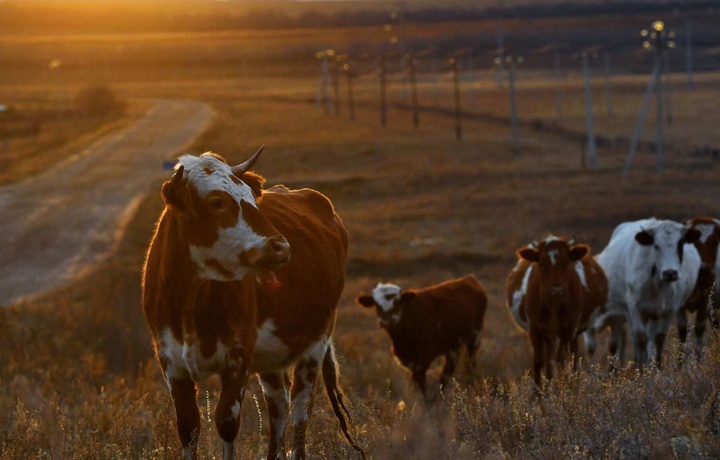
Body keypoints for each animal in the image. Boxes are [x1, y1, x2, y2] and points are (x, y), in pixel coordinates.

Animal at [352, 274, 486, 400]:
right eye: (377, 305)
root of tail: (468, 279)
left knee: (469, 361)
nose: (387, 320)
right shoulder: (408, 360)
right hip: (452, 344)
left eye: (397, 302)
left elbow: (420, 383)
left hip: (475, 335)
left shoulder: (423, 358)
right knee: (450, 365)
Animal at [506, 237, 608, 384]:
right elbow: (538, 361)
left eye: (566, 262)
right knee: (549, 357)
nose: (556, 290)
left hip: (571, 332)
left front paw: (562, 385)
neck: (553, 305)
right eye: (541, 263)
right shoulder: (535, 329)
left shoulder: (569, 328)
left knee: (572, 354)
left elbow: (562, 360)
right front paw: (539, 389)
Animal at [596, 218, 704, 366]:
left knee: (651, 336)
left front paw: (657, 368)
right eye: (656, 246)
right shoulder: (634, 307)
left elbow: (659, 338)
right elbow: (641, 338)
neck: (657, 283)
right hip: (629, 311)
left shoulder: (670, 309)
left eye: (680, 244)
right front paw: (641, 369)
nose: (670, 273)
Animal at [676, 216, 720, 356]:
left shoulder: (704, 298)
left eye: (715, 243)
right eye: (693, 244)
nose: (704, 267)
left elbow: (700, 328)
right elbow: (683, 331)